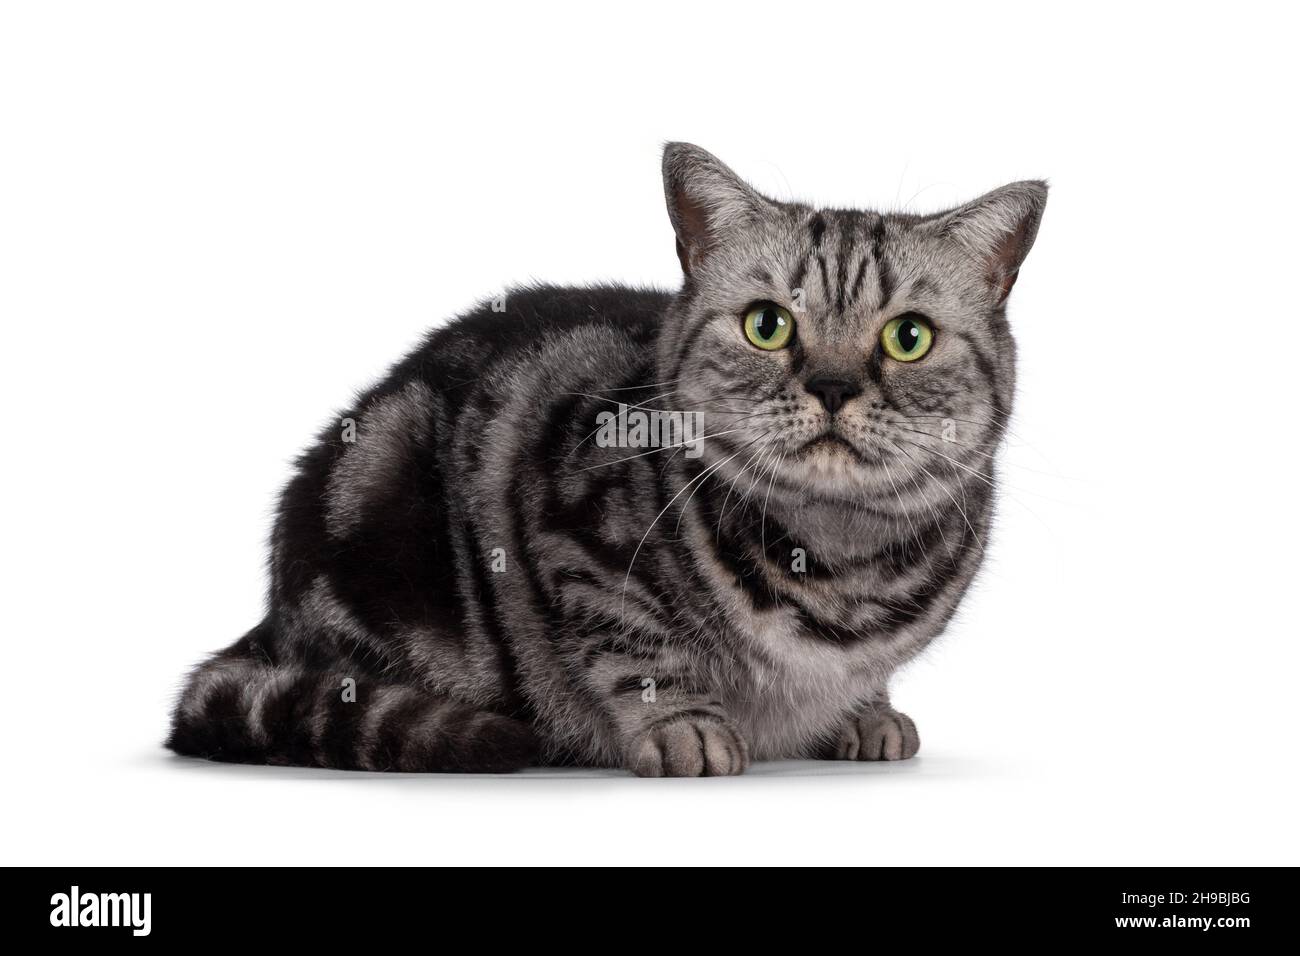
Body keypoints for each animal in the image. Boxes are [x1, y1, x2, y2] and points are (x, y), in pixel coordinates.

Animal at [170, 143, 1045, 780]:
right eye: (767, 325)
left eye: (909, 337)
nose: (831, 385)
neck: (838, 565)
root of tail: (273, 616)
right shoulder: (573, 543)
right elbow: (637, 649)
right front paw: (688, 727)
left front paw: (864, 713)